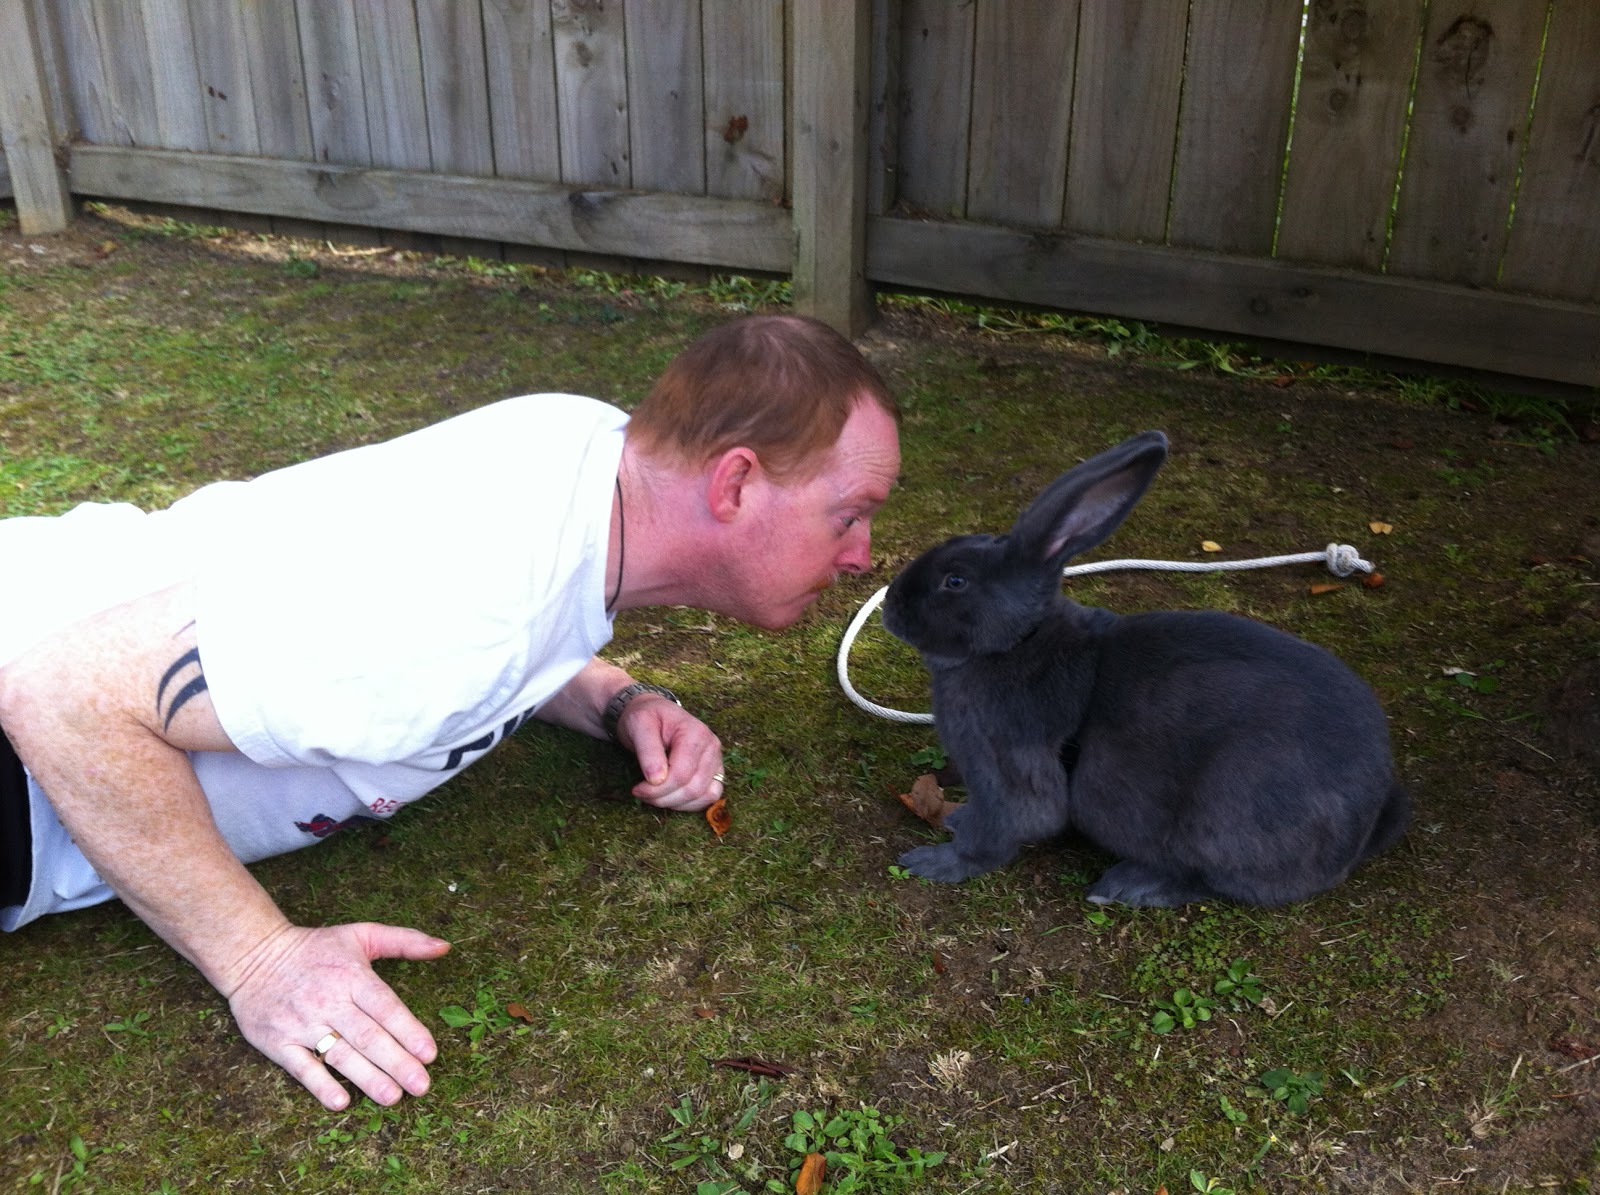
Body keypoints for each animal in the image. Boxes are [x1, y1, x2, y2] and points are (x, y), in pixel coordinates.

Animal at [880, 430, 1409, 907]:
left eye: (955, 581)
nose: (889, 608)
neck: (1019, 640)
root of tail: (1363, 828)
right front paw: (955, 820)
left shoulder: (1007, 768)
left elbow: (1000, 833)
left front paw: (933, 862)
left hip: (1229, 807)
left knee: (1213, 882)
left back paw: (1128, 886)